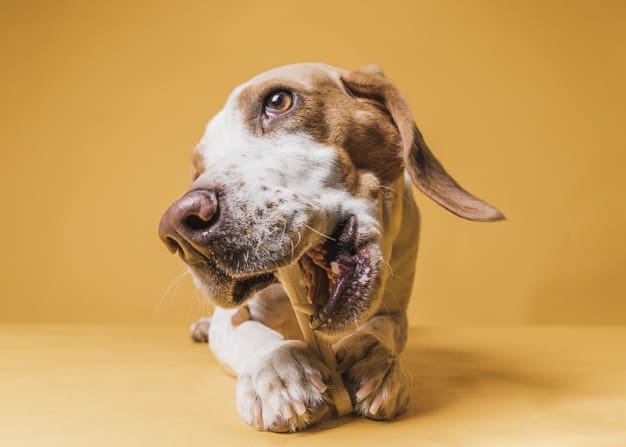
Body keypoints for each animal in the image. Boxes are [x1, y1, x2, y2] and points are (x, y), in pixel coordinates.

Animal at [157, 63, 502, 434]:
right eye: (197, 173)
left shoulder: (395, 307)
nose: (179, 230)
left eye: (278, 101)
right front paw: (279, 371)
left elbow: (386, 329)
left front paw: (374, 358)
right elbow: (251, 335)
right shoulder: (232, 320)